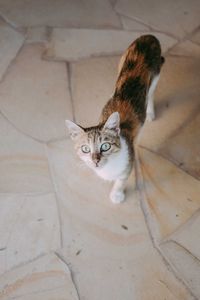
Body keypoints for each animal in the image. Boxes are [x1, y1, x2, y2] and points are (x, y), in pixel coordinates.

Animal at [65, 34, 164, 204]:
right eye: (85, 149)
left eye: (105, 146)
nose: (95, 160)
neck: (108, 166)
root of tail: (148, 37)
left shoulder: (129, 160)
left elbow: (121, 179)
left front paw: (117, 194)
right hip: (122, 61)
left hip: (156, 73)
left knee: (150, 93)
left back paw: (150, 112)